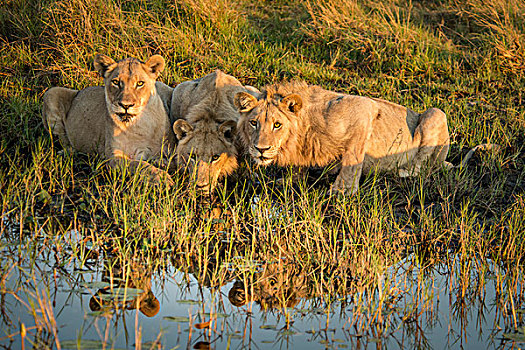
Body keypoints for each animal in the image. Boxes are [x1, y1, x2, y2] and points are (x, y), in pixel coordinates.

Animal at [42, 53, 175, 185]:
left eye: (140, 83)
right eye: (116, 82)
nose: (125, 105)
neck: (139, 124)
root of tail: (79, 91)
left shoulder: (170, 149)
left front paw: (161, 165)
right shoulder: (114, 157)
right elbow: (139, 165)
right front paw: (160, 177)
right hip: (51, 93)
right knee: (63, 139)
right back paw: (70, 152)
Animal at [233, 80, 496, 194]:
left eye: (277, 125)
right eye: (254, 123)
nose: (260, 149)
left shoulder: (364, 107)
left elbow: (353, 158)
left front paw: (342, 191)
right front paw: (290, 180)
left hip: (435, 113)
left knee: (423, 167)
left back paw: (402, 171)